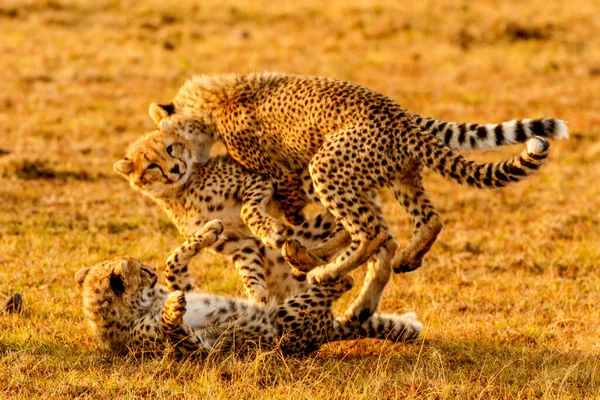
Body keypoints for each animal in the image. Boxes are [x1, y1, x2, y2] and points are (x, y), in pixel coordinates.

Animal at [75, 220, 422, 354]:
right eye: (143, 272)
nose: (151, 272)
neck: (141, 306)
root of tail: (324, 333)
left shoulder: (184, 284)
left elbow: (174, 259)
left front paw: (209, 231)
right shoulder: (197, 349)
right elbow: (176, 330)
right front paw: (173, 309)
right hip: (287, 318)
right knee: (340, 280)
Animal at [149, 72, 568, 294]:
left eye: (170, 145)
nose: (178, 168)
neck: (215, 99)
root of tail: (401, 116)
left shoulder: (285, 177)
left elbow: (279, 214)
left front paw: (286, 241)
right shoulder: (296, 176)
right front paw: (298, 247)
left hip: (327, 166)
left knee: (372, 232)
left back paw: (321, 268)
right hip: (393, 173)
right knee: (420, 221)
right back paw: (399, 257)